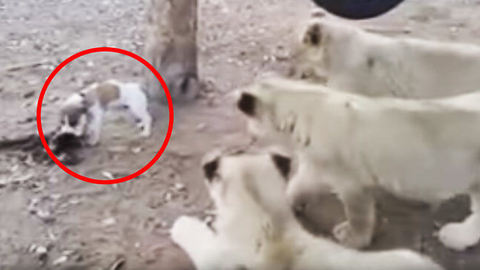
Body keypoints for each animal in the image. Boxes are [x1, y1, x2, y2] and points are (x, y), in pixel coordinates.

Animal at [237, 77, 480, 251]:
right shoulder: (316, 167)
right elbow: (298, 186)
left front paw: (354, 239)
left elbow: (358, 216)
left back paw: (455, 236)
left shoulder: (352, 182)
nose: (245, 149)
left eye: (253, 137)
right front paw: (287, 202)